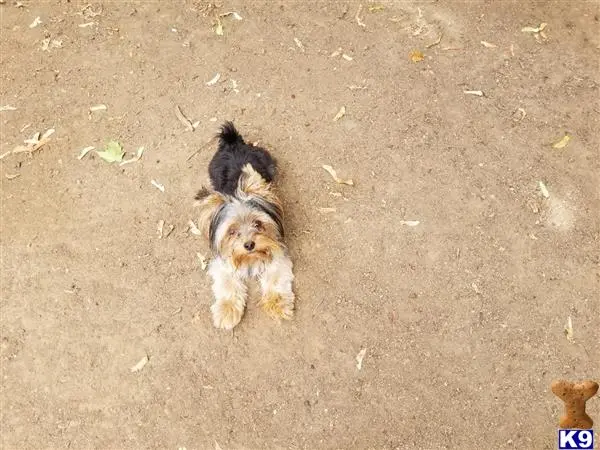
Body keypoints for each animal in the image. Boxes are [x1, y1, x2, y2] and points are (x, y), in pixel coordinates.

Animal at [196, 121, 294, 328]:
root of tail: (233, 143)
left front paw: (278, 305)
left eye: (258, 224)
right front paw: (226, 311)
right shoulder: (223, 262)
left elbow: (276, 278)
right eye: (232, 232)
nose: (249, 245)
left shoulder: (277, 252)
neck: (250, 258)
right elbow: (227, 284)